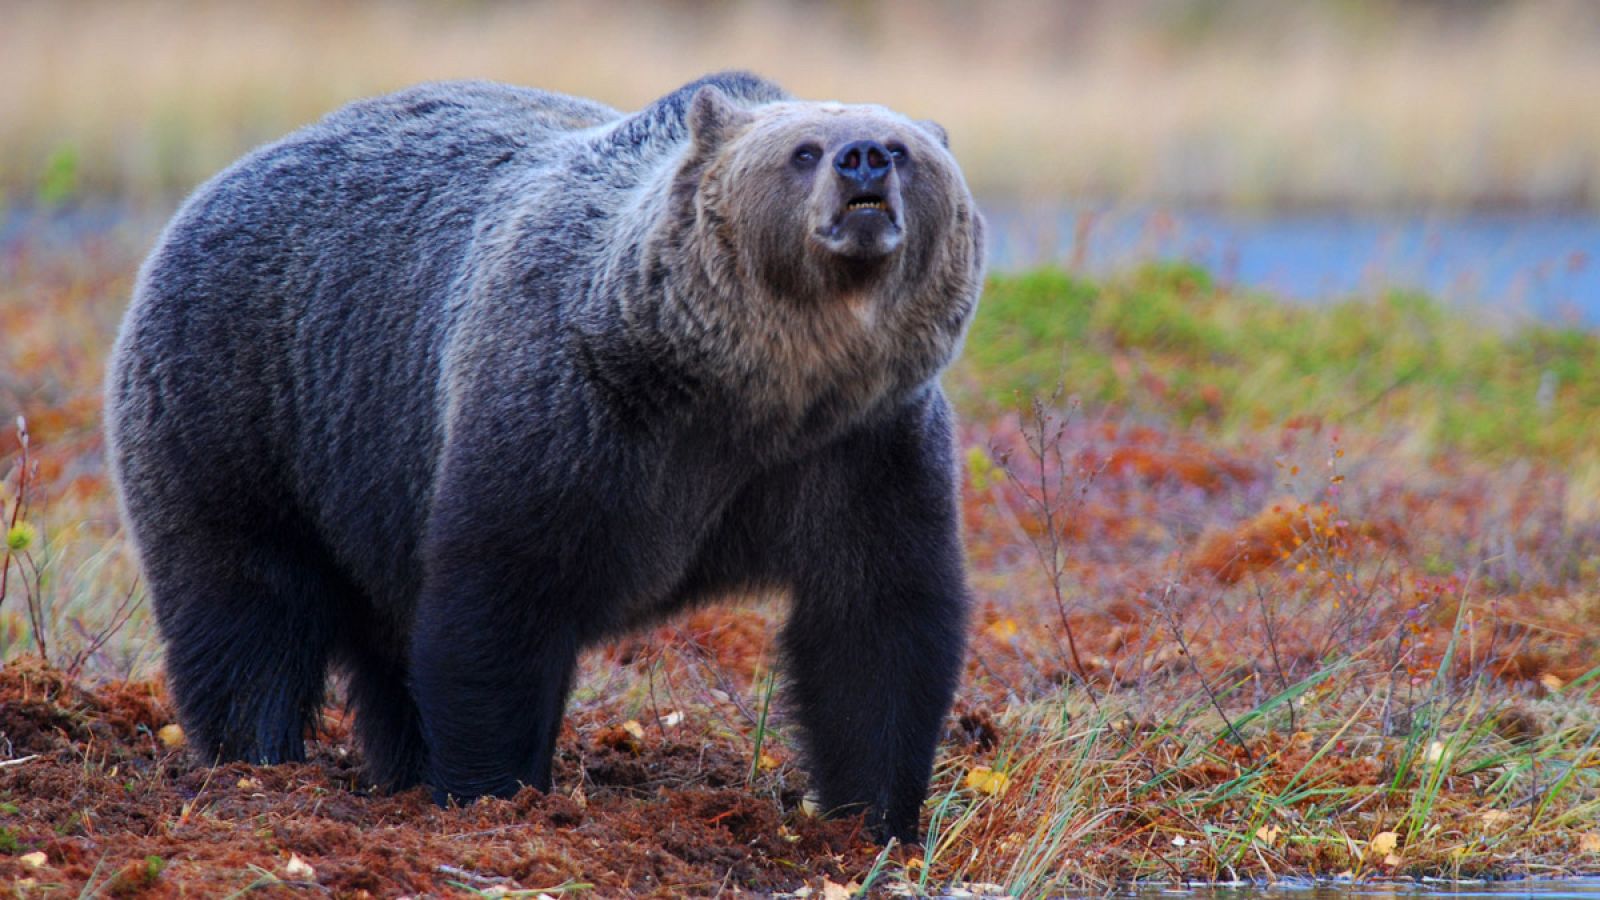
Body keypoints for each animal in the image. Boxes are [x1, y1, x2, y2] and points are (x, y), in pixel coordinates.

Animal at [105, 71, 985, 843]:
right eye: (803, 150)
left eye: (904, 149)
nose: (863, 158)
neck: (753, 393)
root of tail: (223, 177)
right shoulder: (572, 418)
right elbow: (500, 604)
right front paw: (493, 789)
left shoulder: (863, 449)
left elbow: (877, 624)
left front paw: (874, 818)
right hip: (245, 404)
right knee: (245, 605)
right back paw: (255, 763)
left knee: (379, 640)